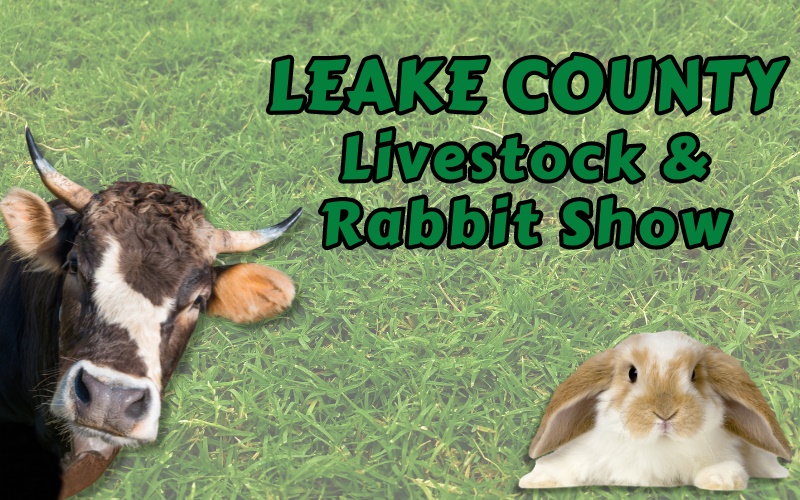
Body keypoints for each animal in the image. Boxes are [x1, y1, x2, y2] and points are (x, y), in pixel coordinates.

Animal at [519, 330, 791, 490]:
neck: (658, 445)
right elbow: (565, 466)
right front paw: (535, 481)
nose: (665, 413)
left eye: (694, 375)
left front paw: (721, 481)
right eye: (632, 373)